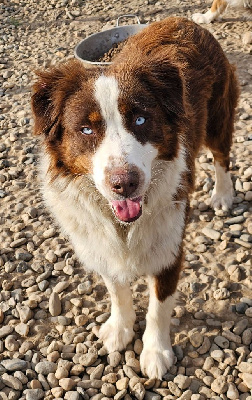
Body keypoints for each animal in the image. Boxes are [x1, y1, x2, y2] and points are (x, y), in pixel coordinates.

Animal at [31, 17, 238, 380]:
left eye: (140, 119)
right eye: (86, 129)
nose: (124, 183)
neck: (125, 225)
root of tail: (185, 20)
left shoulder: (170, 247)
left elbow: (159, 307)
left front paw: (155, 354)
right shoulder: (102, 243)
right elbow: (116, 289)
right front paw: (120, 329)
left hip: (219, 117)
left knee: (222, 157)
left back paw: (222, 195)